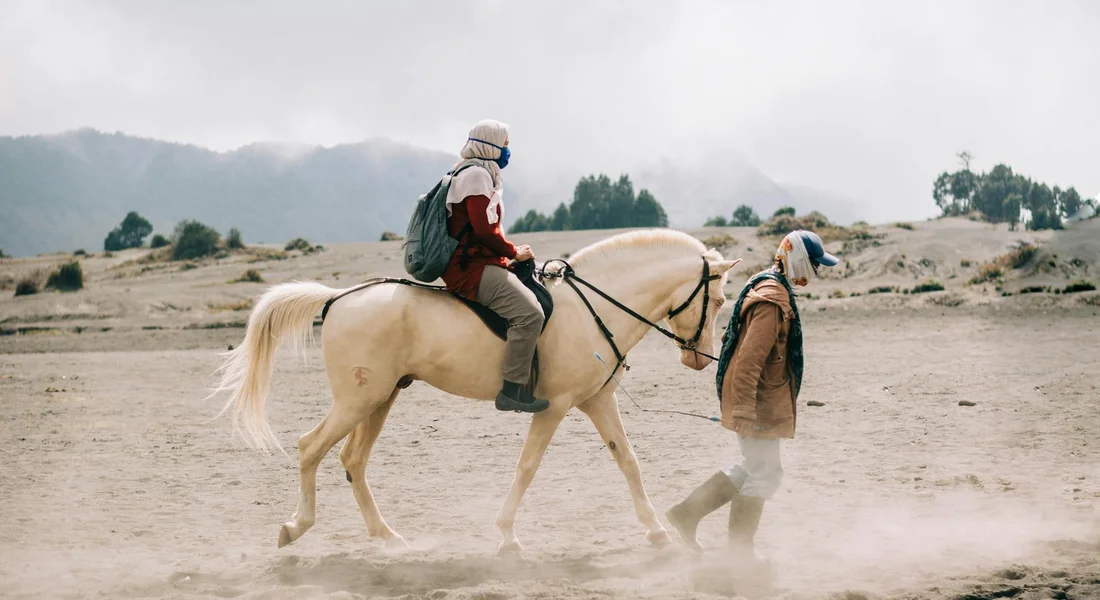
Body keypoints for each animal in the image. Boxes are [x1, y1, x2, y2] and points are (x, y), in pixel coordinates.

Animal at [212, 229, 740, 553]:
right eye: (716, 301)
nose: (700, 359)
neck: (595, 308)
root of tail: (338, 297)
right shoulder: (554, 407)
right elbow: (527, 468)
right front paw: (506, 536)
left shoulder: (597, 401)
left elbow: (628, 462)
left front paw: (656, 531)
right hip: (358, 400)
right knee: (310, 448)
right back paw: (296, 527)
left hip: (380, 399)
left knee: (351, 461)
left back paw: (387, 536)